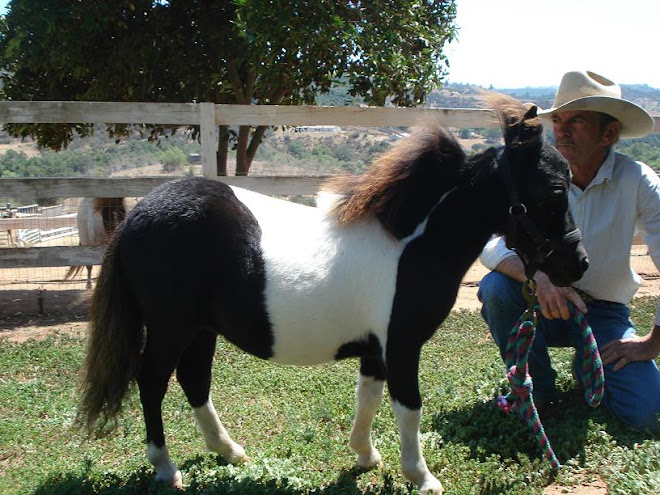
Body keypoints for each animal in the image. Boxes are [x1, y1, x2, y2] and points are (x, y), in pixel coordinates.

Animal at [76, 95, 588, 494]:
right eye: (554, 189)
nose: (578, 264)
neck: (412, 242)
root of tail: (138, 213)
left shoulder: (376, 349)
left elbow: (369, 399)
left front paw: (365, 455)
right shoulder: (402, 346)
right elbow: (408, 408)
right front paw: (421, 477)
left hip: (201, 329)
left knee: (194, 381)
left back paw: (230, 451)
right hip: (170, 328)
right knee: (152, 382)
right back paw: (166, 469)